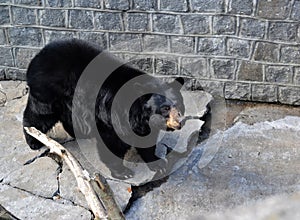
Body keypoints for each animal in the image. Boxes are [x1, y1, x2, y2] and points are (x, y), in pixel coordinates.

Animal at [22, 38, 183, 180]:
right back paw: (33, 140)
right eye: (165, 108)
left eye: (179, 105)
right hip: (48, 93)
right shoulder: (114, 114)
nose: (179, 124)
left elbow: (146, 139)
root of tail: (38, 56)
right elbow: (112, 142)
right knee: (40, 115)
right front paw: (123, 172)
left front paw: (158, 163)